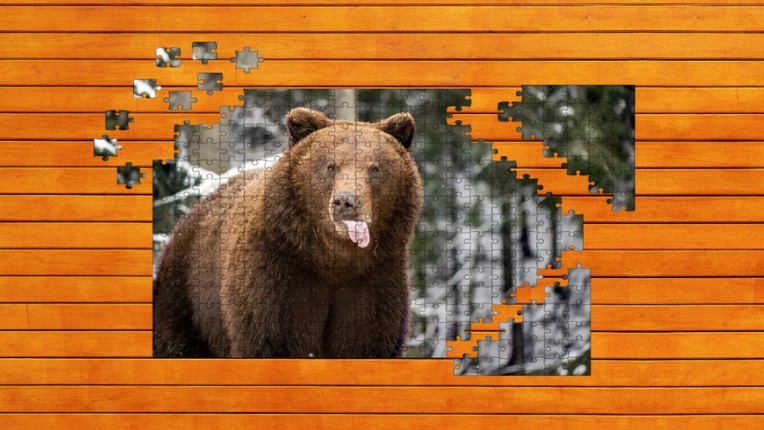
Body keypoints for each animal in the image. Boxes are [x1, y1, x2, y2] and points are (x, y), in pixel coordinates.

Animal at [153, 107, 423, 358]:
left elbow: (366, 342)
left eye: (375, 168)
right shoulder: (277, 276)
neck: (333, 260)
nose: (346, 201)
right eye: (330, 166)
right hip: (190, 294)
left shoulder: (374, 282)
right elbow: (271, 339)